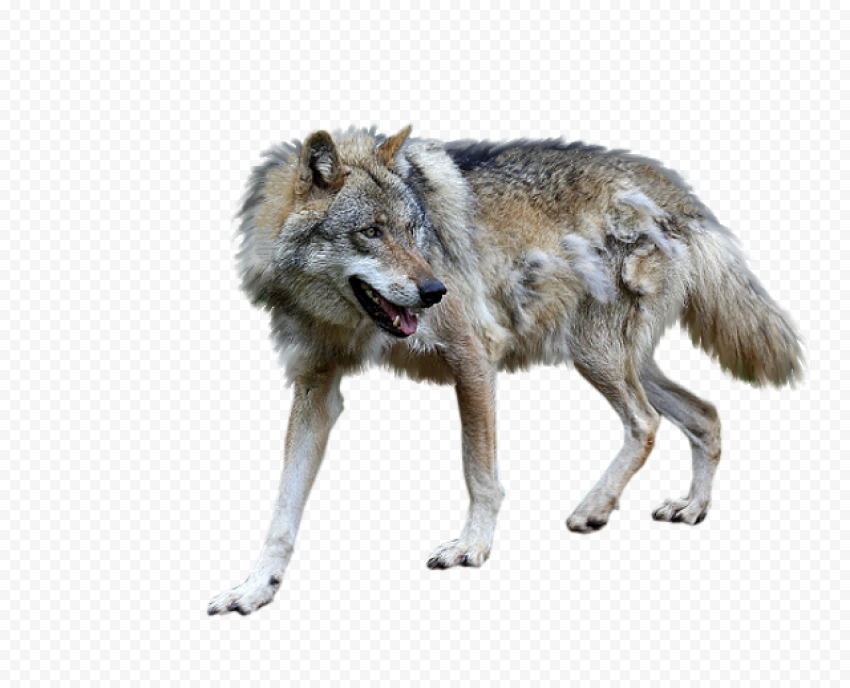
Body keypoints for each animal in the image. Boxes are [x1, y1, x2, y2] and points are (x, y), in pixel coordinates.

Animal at [208, 126, 802, 615]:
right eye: (371, 232)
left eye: (413, 230)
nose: (435, 291)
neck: (343, 317)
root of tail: (678, 191)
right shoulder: (316, 387)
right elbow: (283, 506)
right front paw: (256, 587)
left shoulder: (474, 357)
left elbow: (479, 472)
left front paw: (472, 547)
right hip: (618, 360)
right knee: (706, 413)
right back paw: (691, 508)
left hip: (597, 357)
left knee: (647, 422)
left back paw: (594, 507)